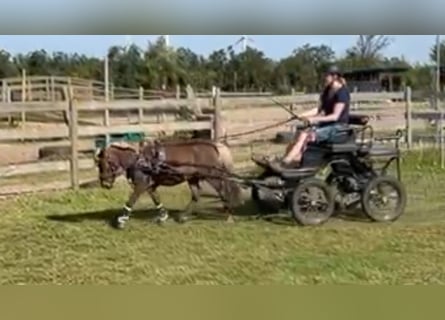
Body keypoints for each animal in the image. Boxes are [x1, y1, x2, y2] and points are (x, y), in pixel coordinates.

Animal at [93, 139, 239, 229]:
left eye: (106, 163)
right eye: (98, 165)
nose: (105, 183)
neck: (139, 160)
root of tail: (213, 146)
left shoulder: (141, 185)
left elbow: (131, 201)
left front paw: (121, 221)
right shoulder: (150, 186)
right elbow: (156, 200)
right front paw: (163, 217)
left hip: (211, 177)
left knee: (222, 192)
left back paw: (229, 216)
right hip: (192, 178)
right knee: (196, 195)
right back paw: (183, 217)